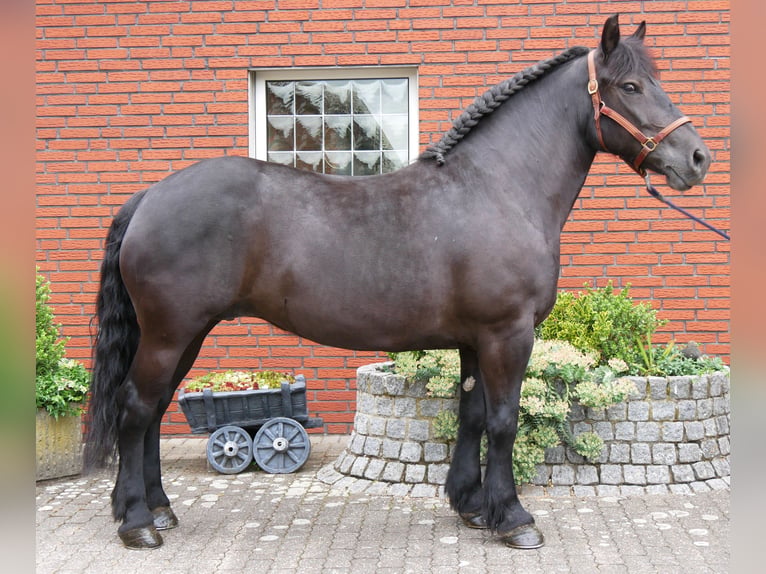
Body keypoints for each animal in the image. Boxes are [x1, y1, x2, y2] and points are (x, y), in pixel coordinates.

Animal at [84, 14, 711, 550]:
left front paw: (471, 505)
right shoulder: (508, 334)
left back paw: (160, 508)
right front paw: (513, 518)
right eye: (631, 86)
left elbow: (473, 414)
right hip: (170, 333)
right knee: (137, 408)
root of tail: (149, 197)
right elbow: (504, 421)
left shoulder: (474, 340)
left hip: (185, 334)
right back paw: (138, 522)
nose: (697, 158)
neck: (498, 188)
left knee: (154, 410)